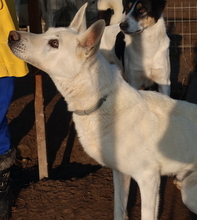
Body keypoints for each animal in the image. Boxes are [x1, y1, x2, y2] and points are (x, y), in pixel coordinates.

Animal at [8, 3, 197, 220]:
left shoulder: (148, 178)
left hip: (189, 193)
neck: (101, 104)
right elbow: (119, 210)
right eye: (47, 32)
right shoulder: (121, 173)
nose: (12, 35)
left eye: (54, 43)